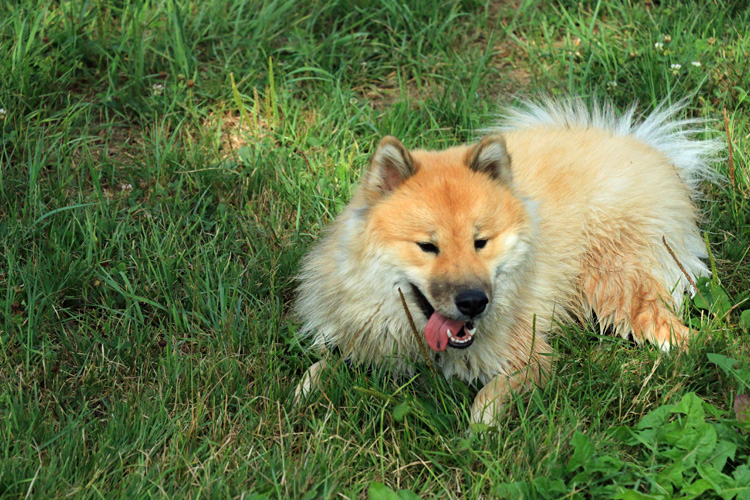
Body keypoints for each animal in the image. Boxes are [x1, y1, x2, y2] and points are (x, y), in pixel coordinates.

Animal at [290, 98, 720, 426]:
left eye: (480, 242)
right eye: (428, 246)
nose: (473, 302)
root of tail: (644, 147)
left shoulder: (529, 360)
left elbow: (485, 403)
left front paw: (476, 439)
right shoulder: (363, 340)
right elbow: (318, 369)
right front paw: (302, 400)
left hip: (620, 290)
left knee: (684, 338)